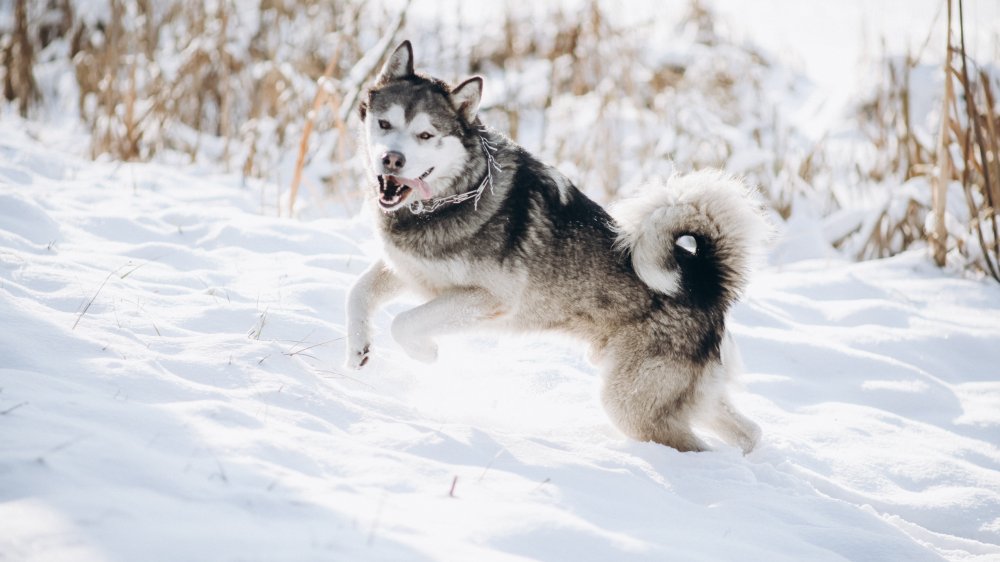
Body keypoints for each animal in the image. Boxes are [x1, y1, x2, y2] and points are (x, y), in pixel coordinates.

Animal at [344, 40, 764, 450]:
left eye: (426, 135)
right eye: (385, 123)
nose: (391, 160)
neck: (455, 194)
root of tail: (705, 281)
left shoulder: (488, 299)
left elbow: (403, 322)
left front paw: (425, 352)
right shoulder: (406, 270)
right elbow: (357, 292)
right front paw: (357, 349)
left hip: (631, 404)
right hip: (682, 396)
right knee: (750, 431)